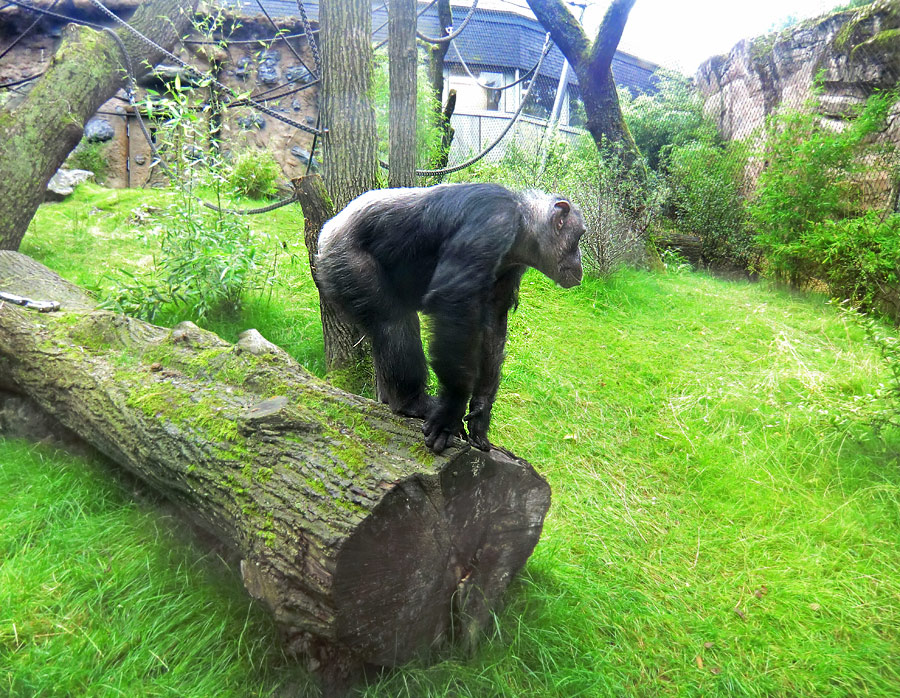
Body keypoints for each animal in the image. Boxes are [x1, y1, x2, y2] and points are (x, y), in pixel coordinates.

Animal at [314, 182, 584, 452]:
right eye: (579, 236)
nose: (580, 259)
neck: (522, 224)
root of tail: (328, 229)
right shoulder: (493, 220)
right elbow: (453, 300)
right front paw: (450, 412)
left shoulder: (511, 267)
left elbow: (493, 323)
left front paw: (481, 414)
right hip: (346, 260)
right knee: (393, 323)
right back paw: (412, 402)